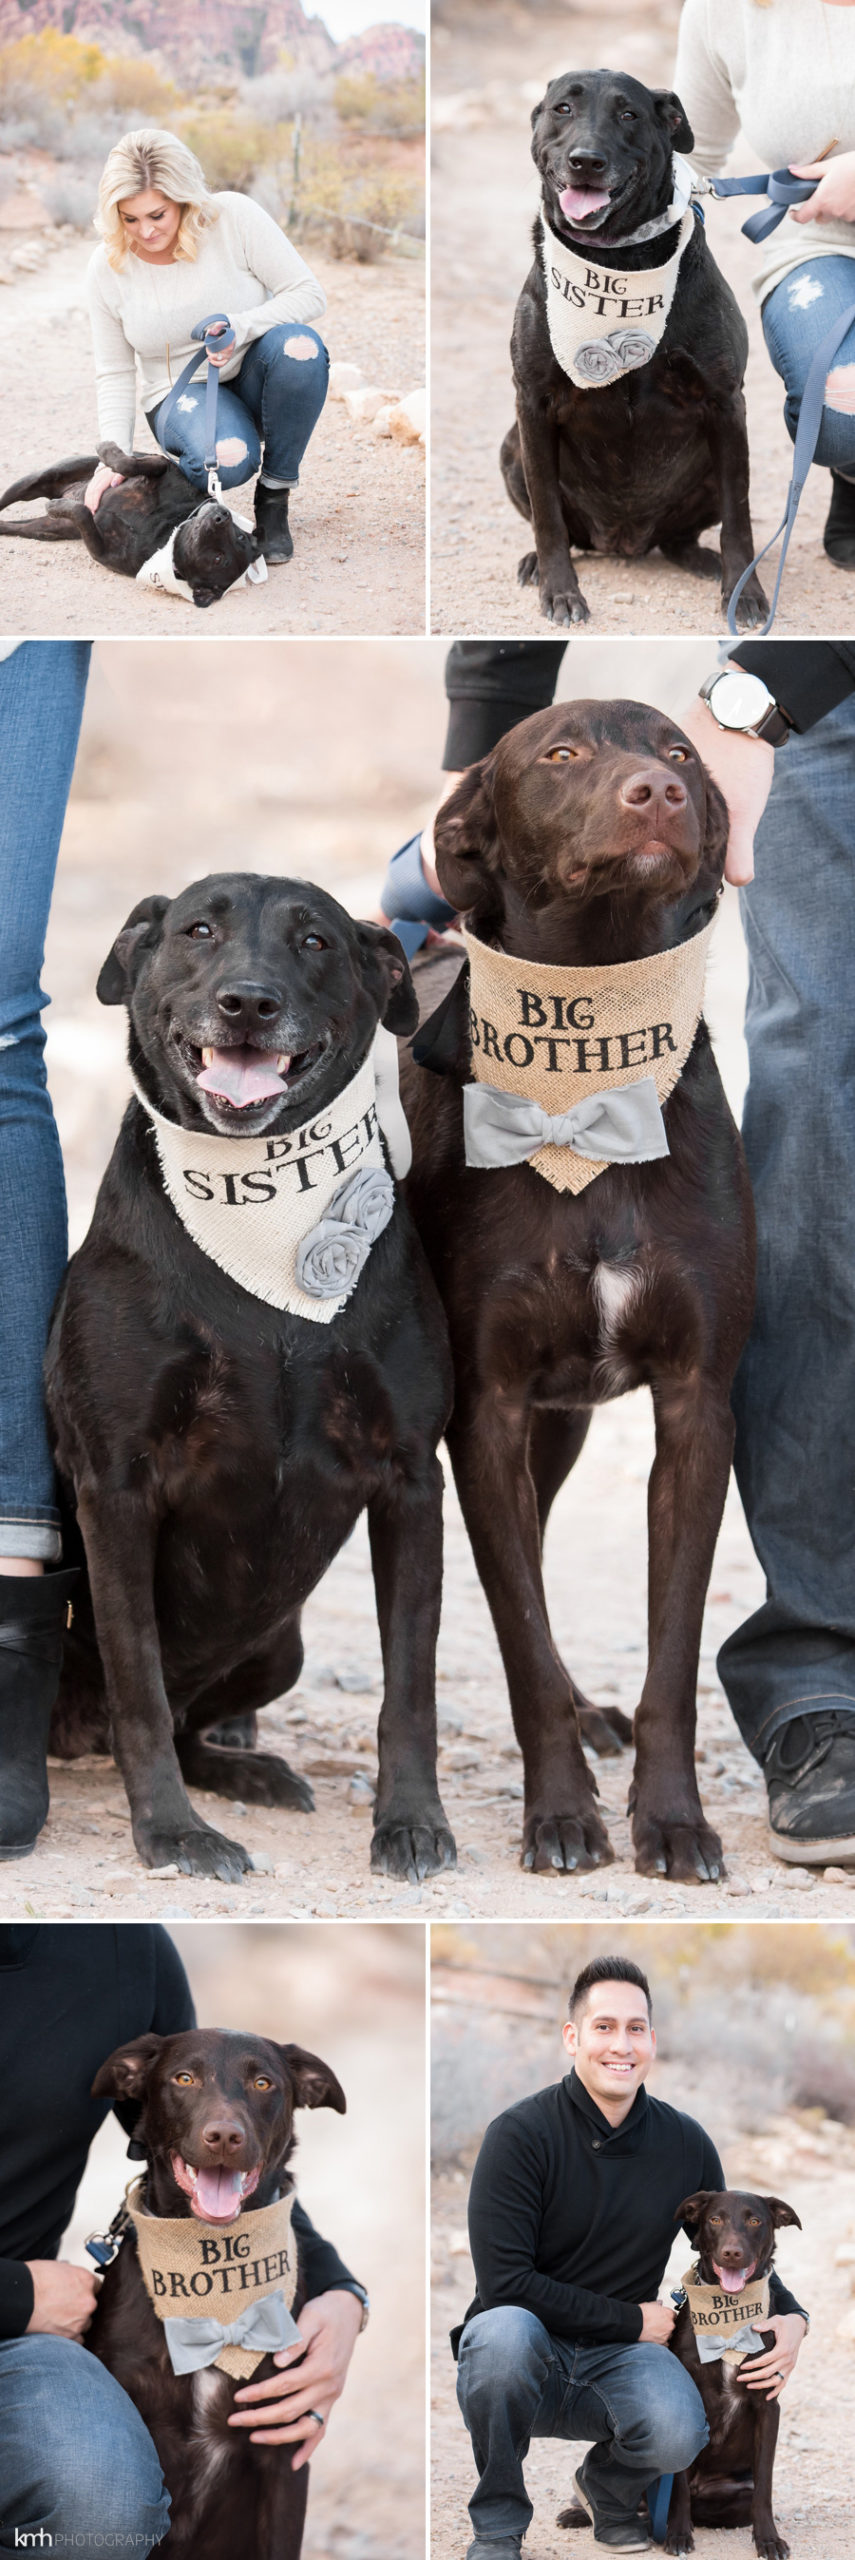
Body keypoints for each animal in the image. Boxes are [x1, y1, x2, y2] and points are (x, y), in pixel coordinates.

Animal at [0, 445, 257, 609]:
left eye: (219, 559)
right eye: (240, 535)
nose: (222, 515)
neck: (165, 529)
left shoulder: (100, 550)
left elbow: (83, 513)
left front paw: (60, 506)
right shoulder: (162, 467)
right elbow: (130, 463)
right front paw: (108, 450)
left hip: (43, 529)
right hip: (39, 479)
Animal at [46, 880, 458, 1884]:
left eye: (315, 941)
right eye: (199, 928)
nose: (248, 1002)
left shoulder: (410, 1480)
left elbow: (410, 1683)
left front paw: (410, 1821)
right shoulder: (114, 1485)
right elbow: (138, 1684)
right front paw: (172, 1833)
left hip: (281, 1644)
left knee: (197, 1722)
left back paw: (250, 1770)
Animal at [665, 2181, 803, 2560]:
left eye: (755, 2221)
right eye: (715, 2219)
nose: (731, 2253)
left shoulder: (768, 2406)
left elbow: (765, 2487)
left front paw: (768, 2539)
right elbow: (677, 2486)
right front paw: (677, 2533)